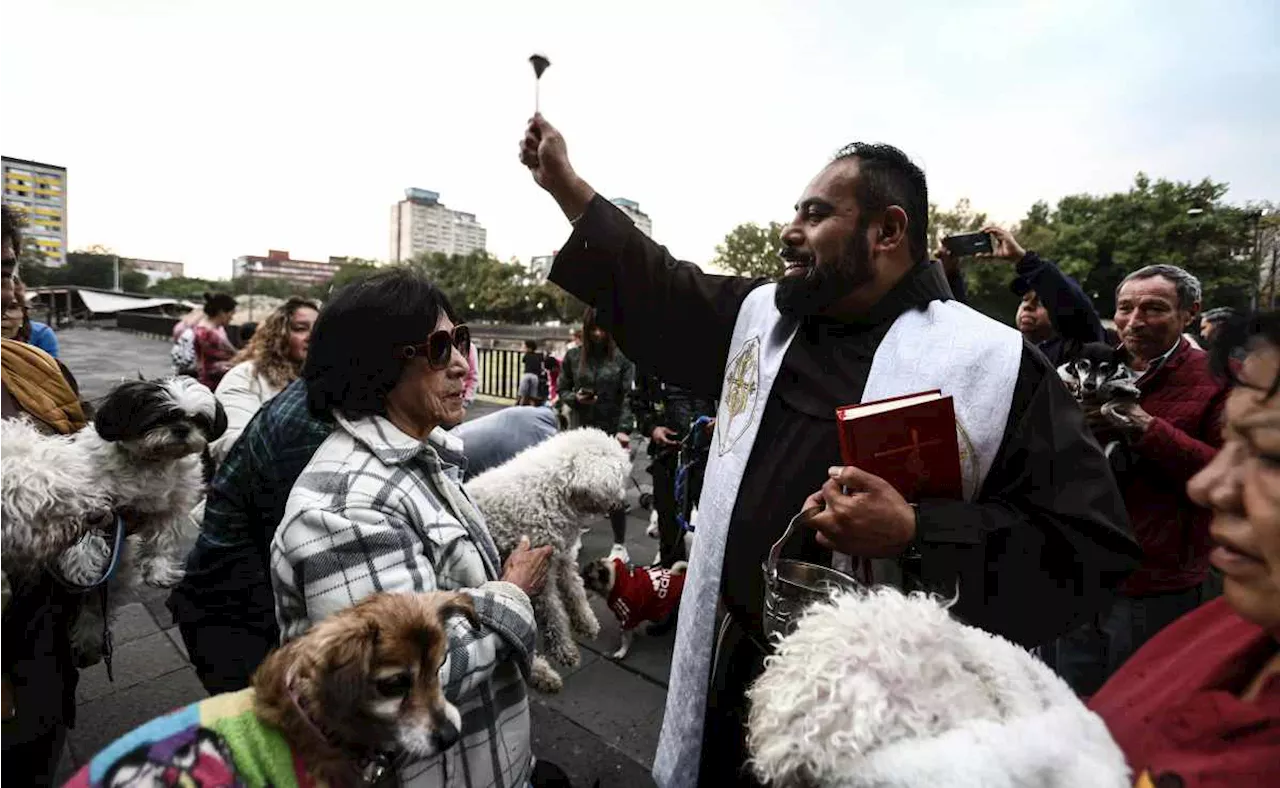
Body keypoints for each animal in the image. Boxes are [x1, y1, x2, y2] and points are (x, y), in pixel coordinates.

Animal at [468, 427, 632, 690]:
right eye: (618, 478)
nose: (624, 503)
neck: (554, 491)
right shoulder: (540, 570)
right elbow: (554, 612)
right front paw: (565, 650)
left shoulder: (562, 555)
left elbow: (574, 588)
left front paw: (586, 622)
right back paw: (542, 674)